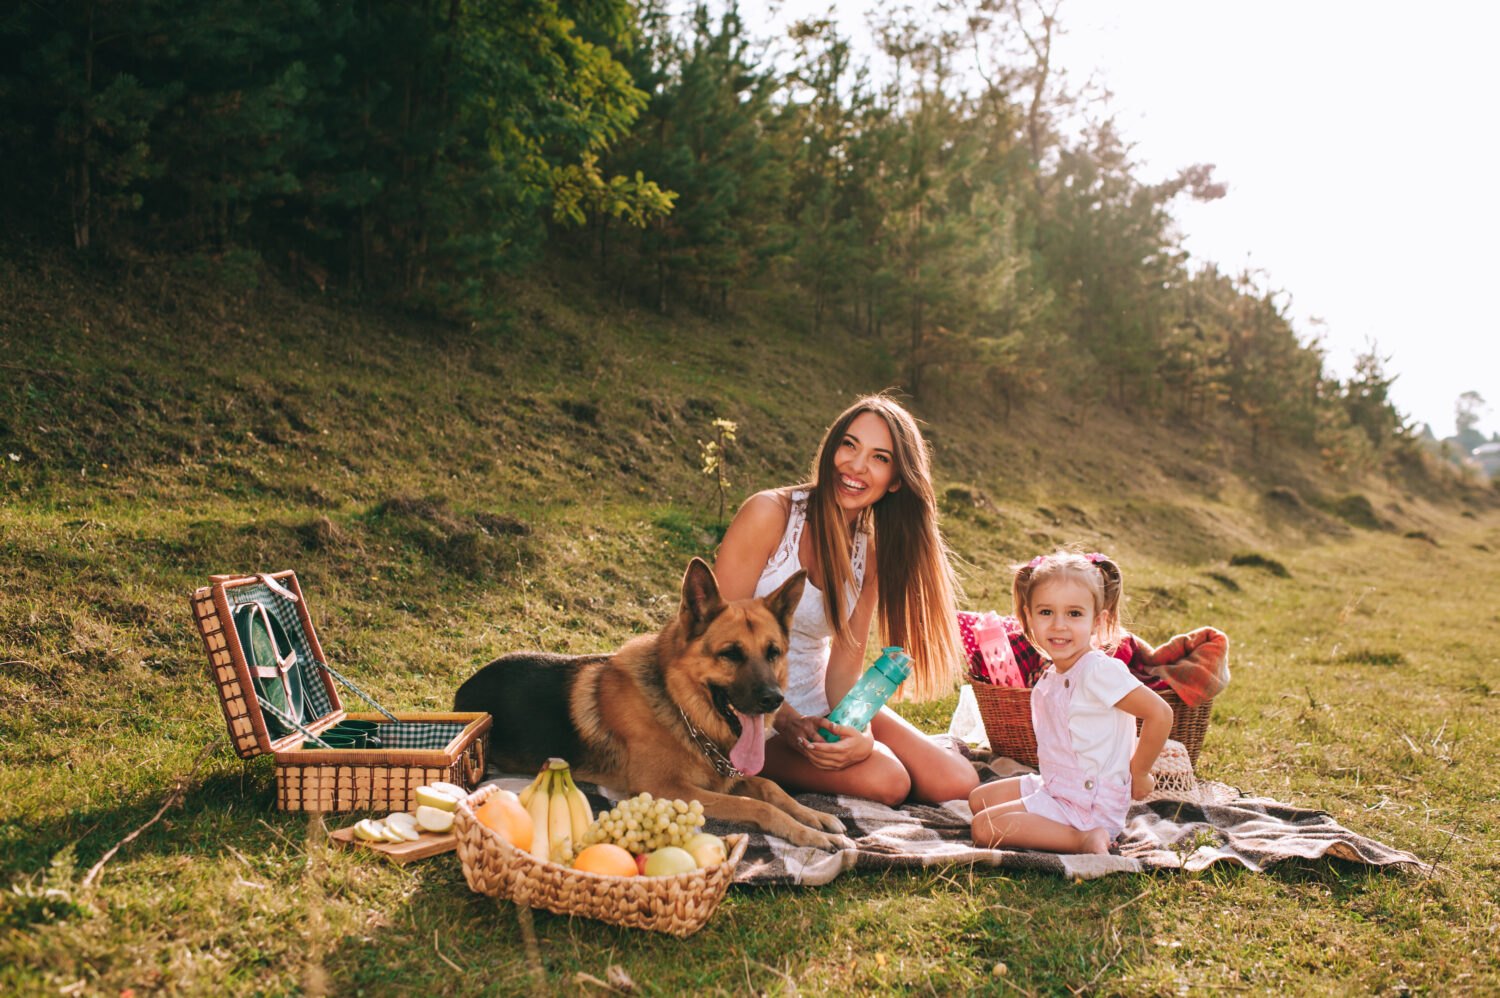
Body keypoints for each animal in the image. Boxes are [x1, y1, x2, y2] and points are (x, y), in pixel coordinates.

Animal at [456, 552, 852, 846]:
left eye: (773, 653)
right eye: (730, 654)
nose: (774, 700)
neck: (681, 709)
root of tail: (465, 687)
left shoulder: (725, 776)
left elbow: (771, 787)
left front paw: (816, 817)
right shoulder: (667, 789)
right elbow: (756, 806)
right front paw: (806, 833)